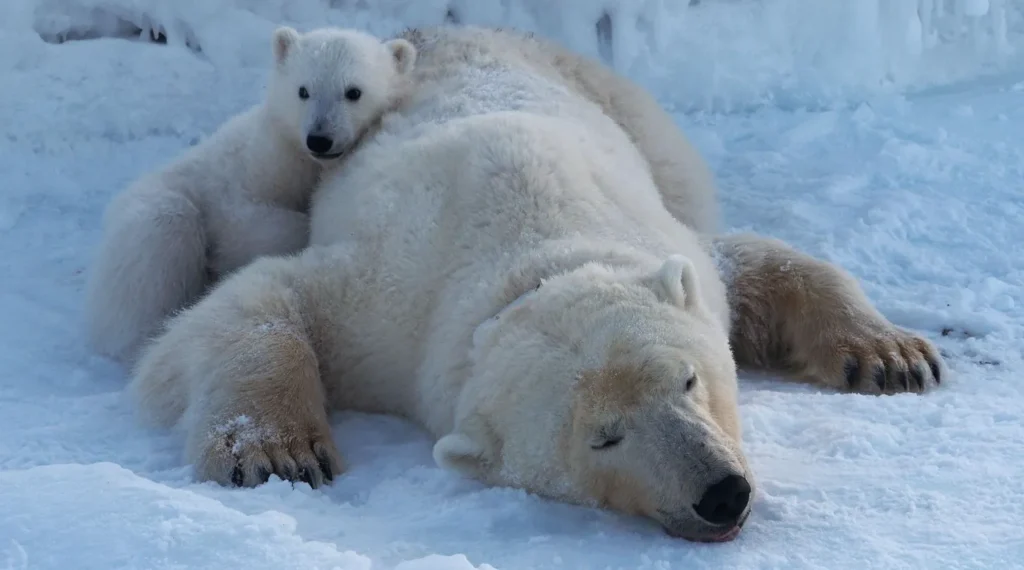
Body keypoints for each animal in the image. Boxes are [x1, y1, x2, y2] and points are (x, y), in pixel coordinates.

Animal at [82, 25, 418, 365]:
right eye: (303, 90)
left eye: (353, 92)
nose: (319, 139)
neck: (296, 160)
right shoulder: (246, 175)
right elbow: (245, 224)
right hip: (150, 211)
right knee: (161, 234)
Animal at [127, 25, 944, 543]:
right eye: (603, 438)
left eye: (688, 379)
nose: (721, 494)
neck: (531, 248)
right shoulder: (391, 308)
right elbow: (260, 300)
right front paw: (278, 453)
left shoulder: (657, 236)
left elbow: (752, 264)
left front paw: (892, 357)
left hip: (630, 111)